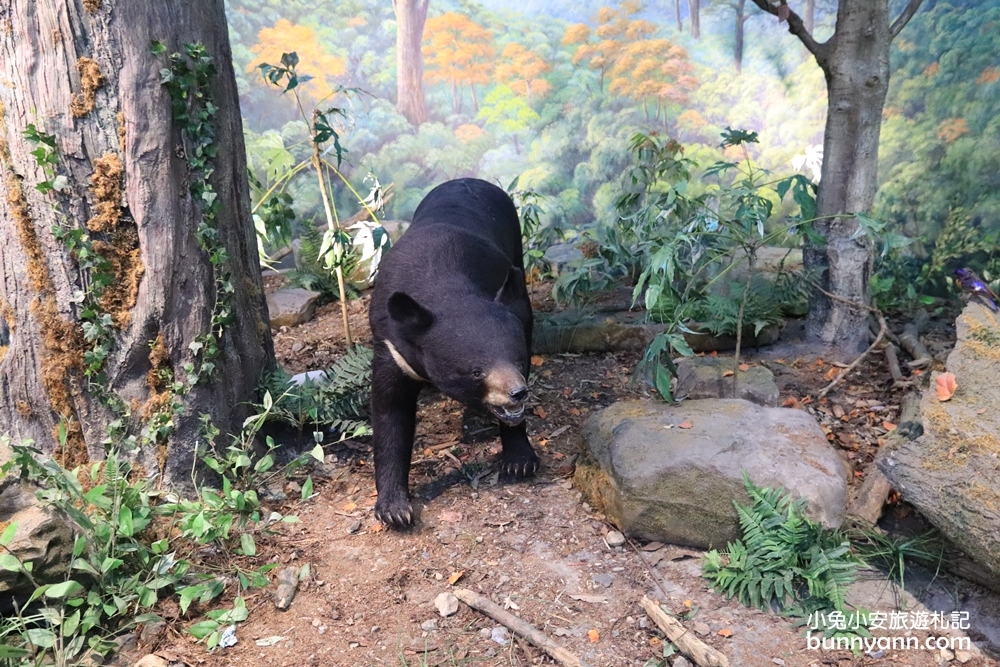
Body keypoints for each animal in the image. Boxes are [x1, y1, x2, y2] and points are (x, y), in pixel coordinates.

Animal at [370, 177, 540, 528]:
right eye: (475, 371)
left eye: (519, 361)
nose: (518, 392)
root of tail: (467, 179)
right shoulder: (391, 347)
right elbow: (390, 414)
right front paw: (395, 511)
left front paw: (520, 461)